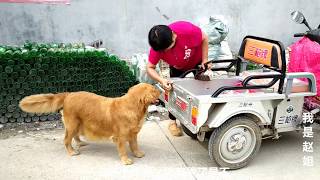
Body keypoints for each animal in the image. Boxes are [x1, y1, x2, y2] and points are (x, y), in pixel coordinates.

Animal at [18, 83, 160, 165]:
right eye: (154, 90)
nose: (160, 89)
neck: (133, 107)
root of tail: (68, 95)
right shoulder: (120, 136)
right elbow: (123, 149)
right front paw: (126, 160)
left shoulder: (133, 133)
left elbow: (134, 145)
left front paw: (137, 154)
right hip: (72, 124)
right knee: (66, 140)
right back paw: (72, 152)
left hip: (77, 124)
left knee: (75, 136)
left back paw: (80, 143)